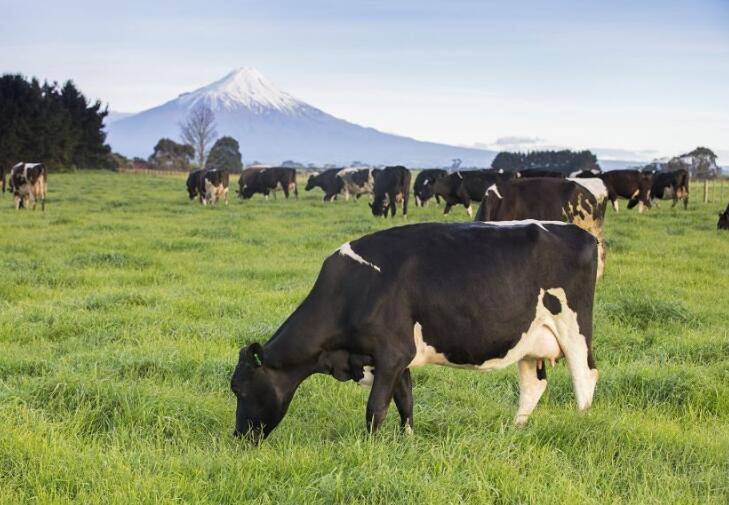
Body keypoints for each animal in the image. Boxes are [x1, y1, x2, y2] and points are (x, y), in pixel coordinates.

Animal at [230, 220, 600, 438]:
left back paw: (582, 423)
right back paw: (515, 430)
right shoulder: (395, 358)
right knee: (532, 386)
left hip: (574, 329)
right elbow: (405, 401)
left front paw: (370, 448)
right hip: (531, 340)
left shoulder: (392, 352)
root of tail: (580, 232)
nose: (238, 436)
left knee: (584, 377)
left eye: (238, 389)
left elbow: (376, 409)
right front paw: (406, 441)